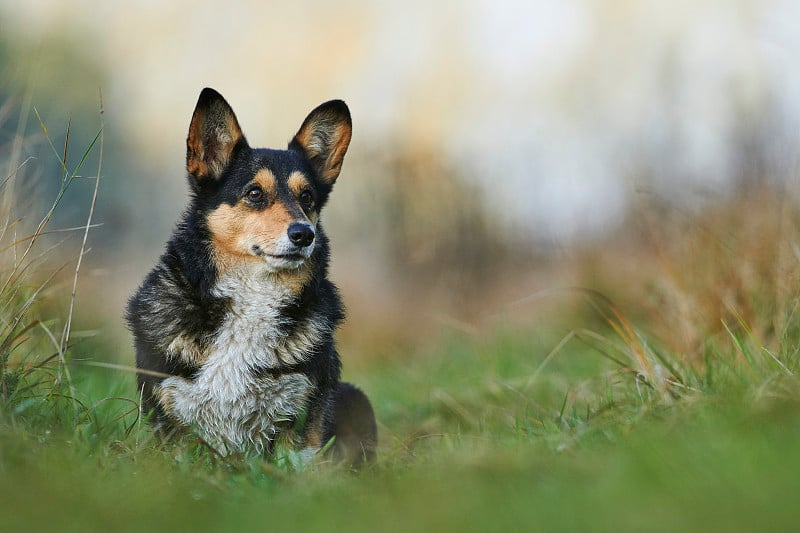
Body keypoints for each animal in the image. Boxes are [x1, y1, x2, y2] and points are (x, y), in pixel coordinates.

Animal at [126, 87, 376, 466]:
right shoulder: (171, 420)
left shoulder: (299, 419)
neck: (252, 295)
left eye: (307, 197)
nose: (304, 235)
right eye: (255, 193)